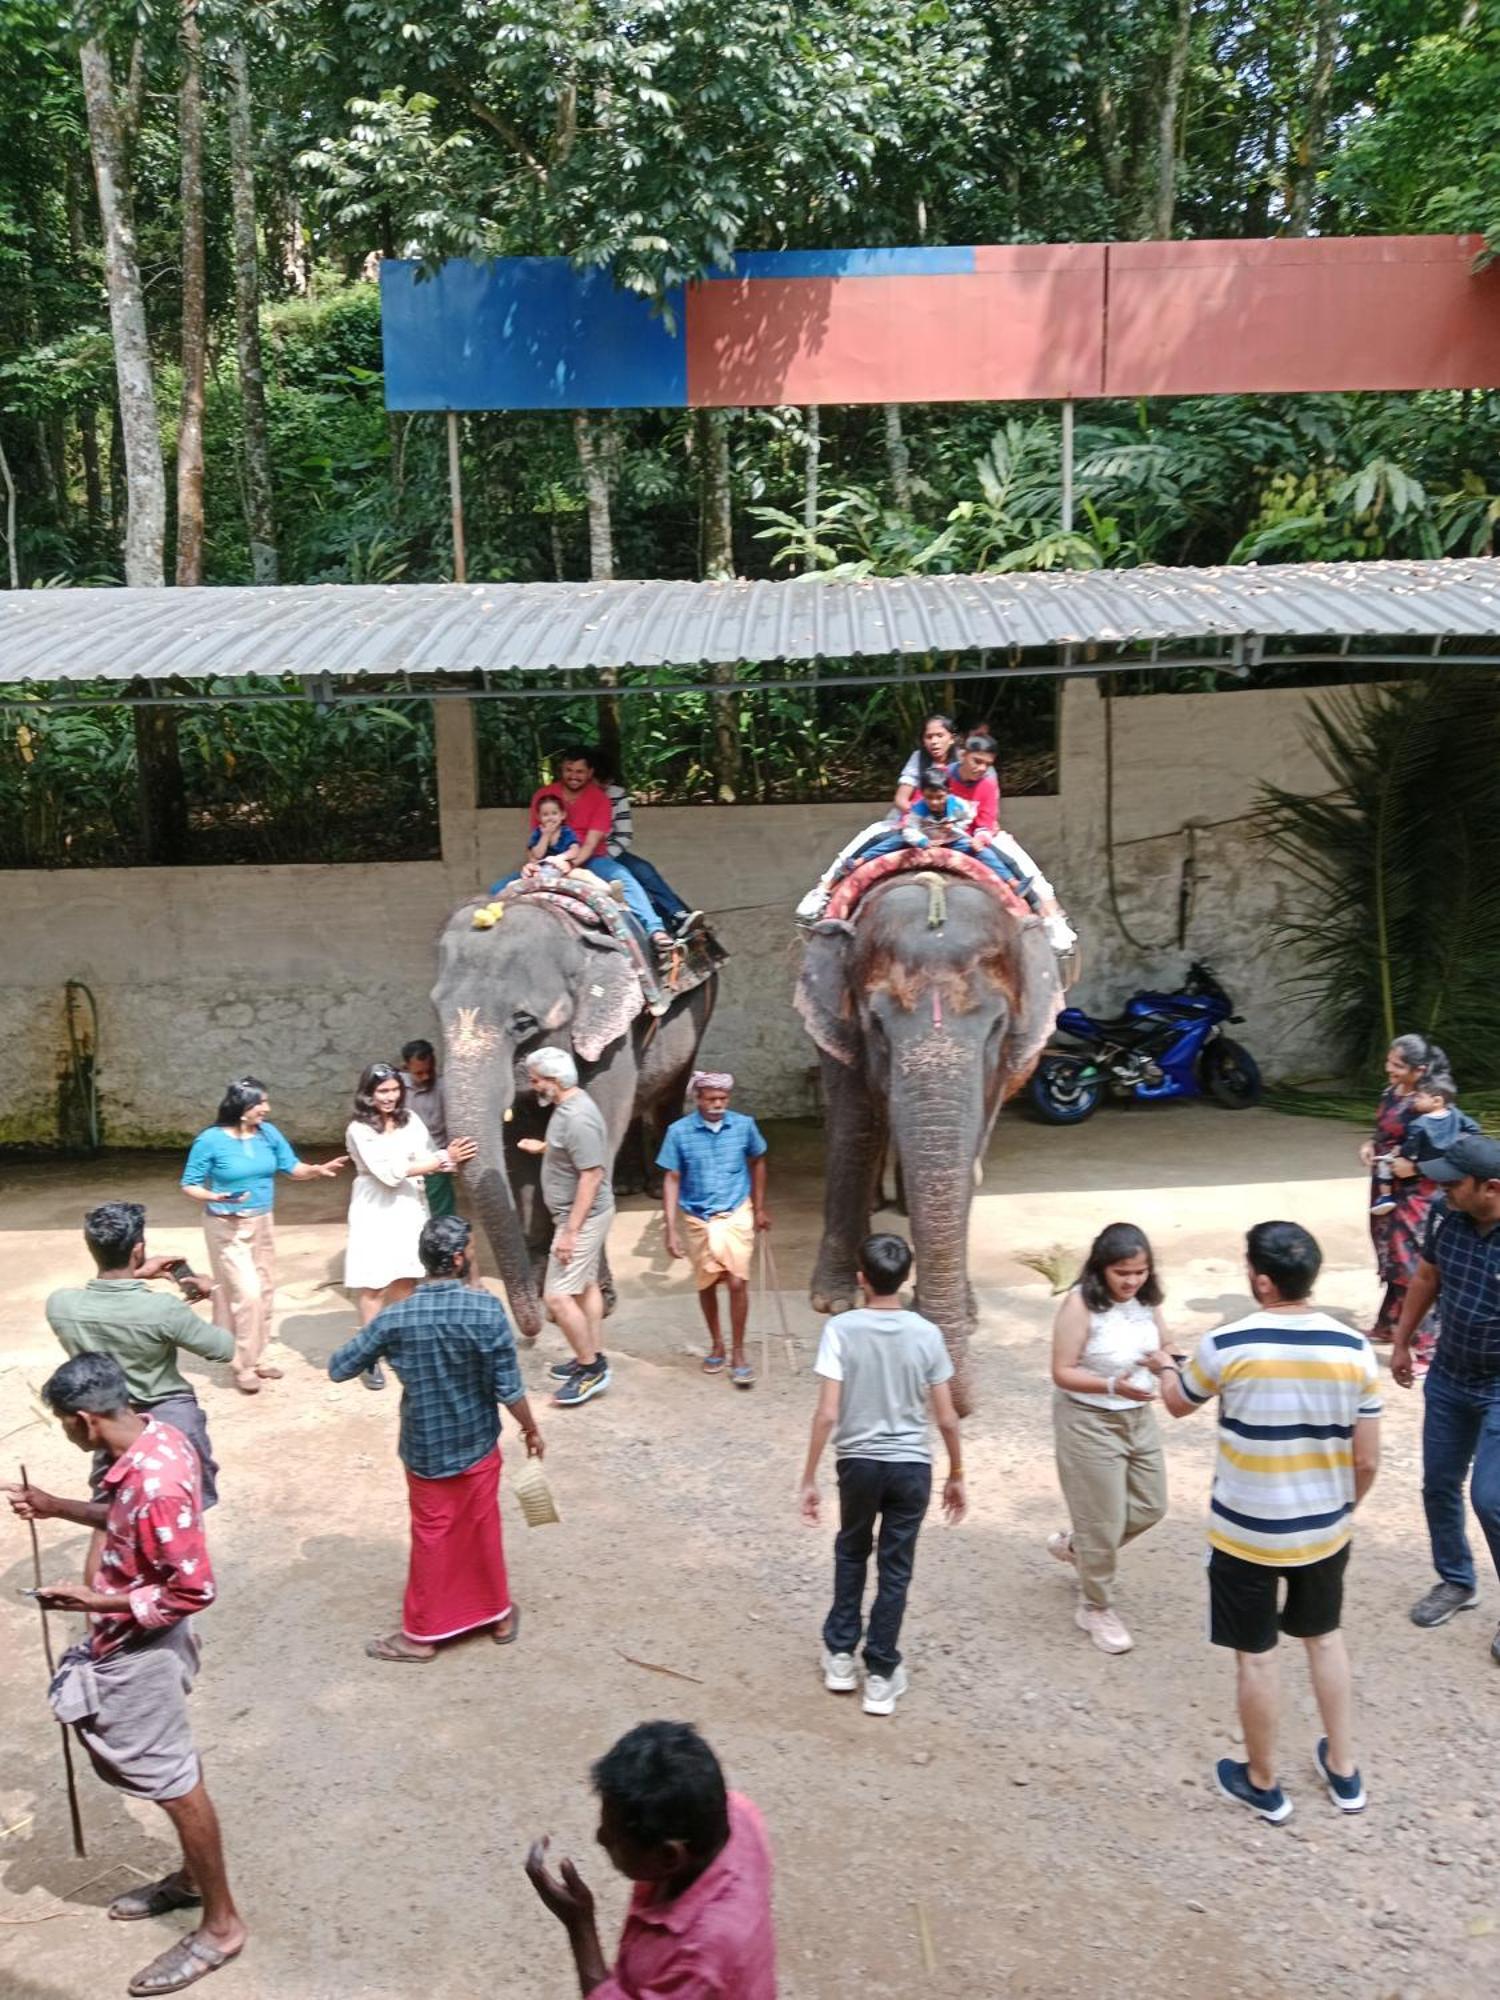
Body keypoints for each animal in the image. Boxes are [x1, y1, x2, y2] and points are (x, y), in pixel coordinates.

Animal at [434, 900, 724, 1336]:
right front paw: (546, 1291)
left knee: (669, 1089)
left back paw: (657, 1187)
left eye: (523, 1021)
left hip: (699, 1012)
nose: (531, 1329)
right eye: (437, 1013)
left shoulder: (611, 1033)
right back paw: (626, 1184)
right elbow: (519, 1149)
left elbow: (595, 1132)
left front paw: (593, 1300)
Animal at [800, 872, 1072, 1408]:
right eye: (876, 1026)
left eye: (997, 1027)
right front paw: (834, 1303)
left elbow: (972, 1148)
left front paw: (961, 1312)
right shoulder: (839, 1031)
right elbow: (853, 1130)